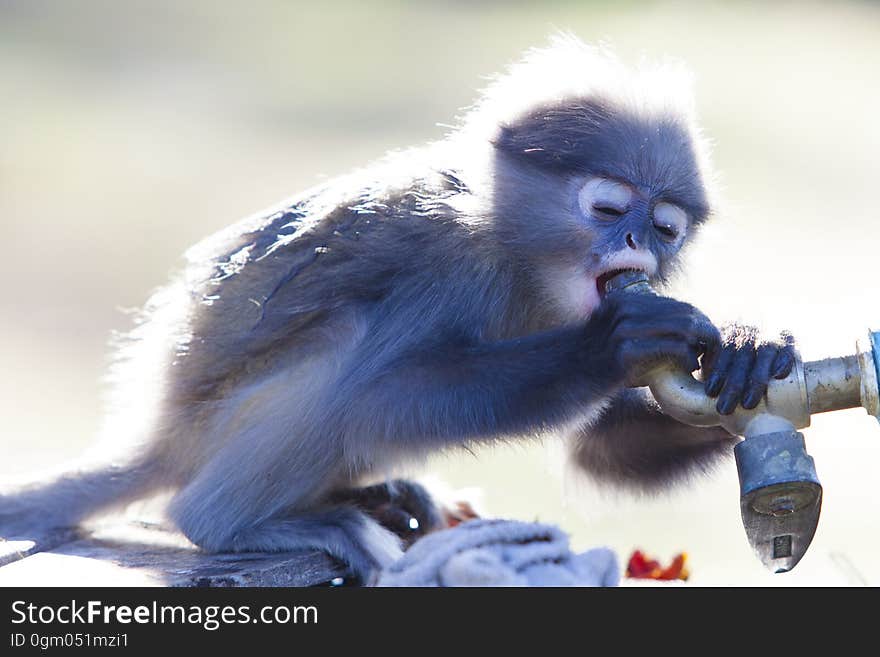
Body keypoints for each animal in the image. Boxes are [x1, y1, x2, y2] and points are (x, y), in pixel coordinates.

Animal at [1, 38, 796, 584]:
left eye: (664, 228)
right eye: (607, 208)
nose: (637, 244)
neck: (514, 255)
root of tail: (166, 435)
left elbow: (595, 446)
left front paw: (748, 349)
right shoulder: (446, 265)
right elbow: (381, 395)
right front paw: (605, 347)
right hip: (220, 425)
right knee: (346, 364)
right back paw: (232, 520)